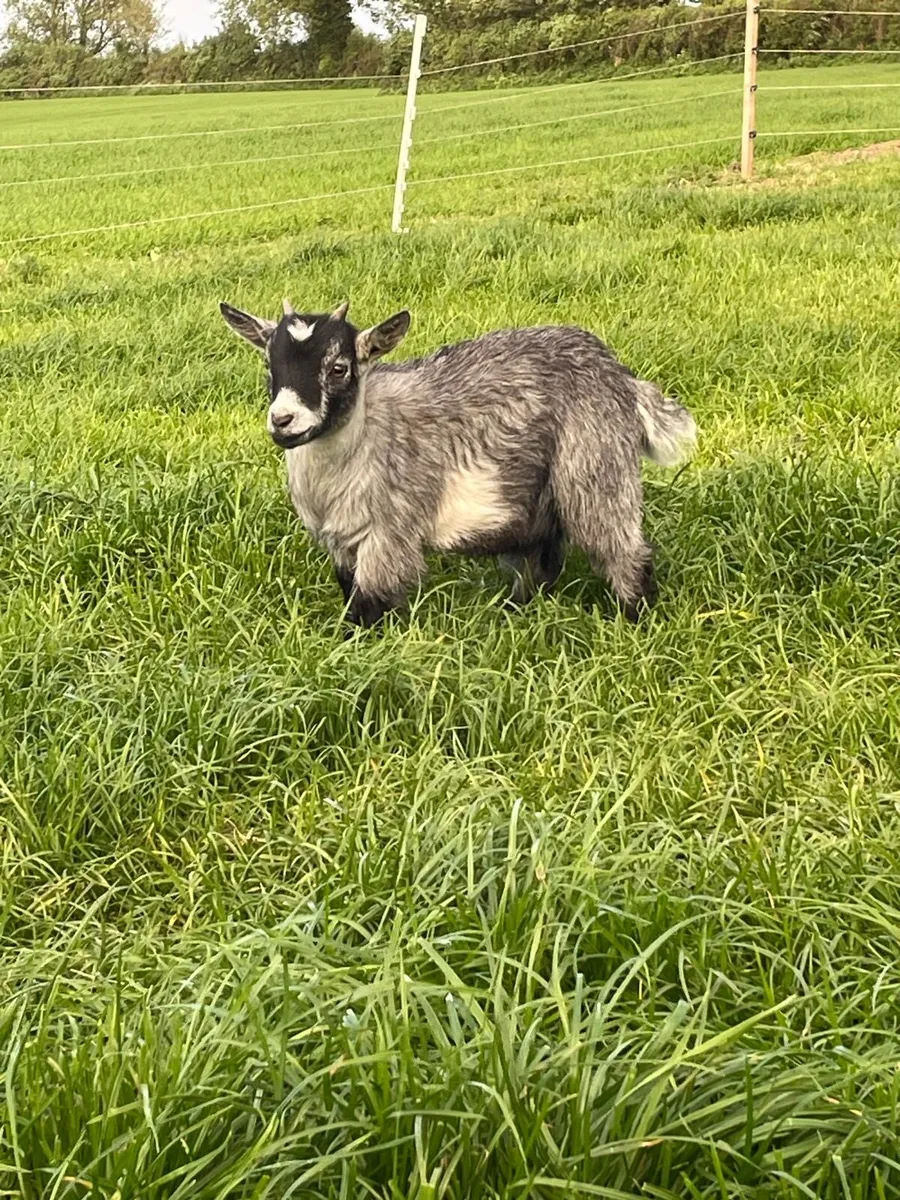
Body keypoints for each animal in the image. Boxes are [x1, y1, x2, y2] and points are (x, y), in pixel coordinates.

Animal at [220, 298, 696, 628]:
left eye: (338, 368)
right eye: (269, 365)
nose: (283, 421)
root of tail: (621, 377)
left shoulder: (390, 533)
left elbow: (368, 604)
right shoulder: (342, 541)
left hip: (595, 465)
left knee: (622, 548)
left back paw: (634, 618)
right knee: (541, 556)